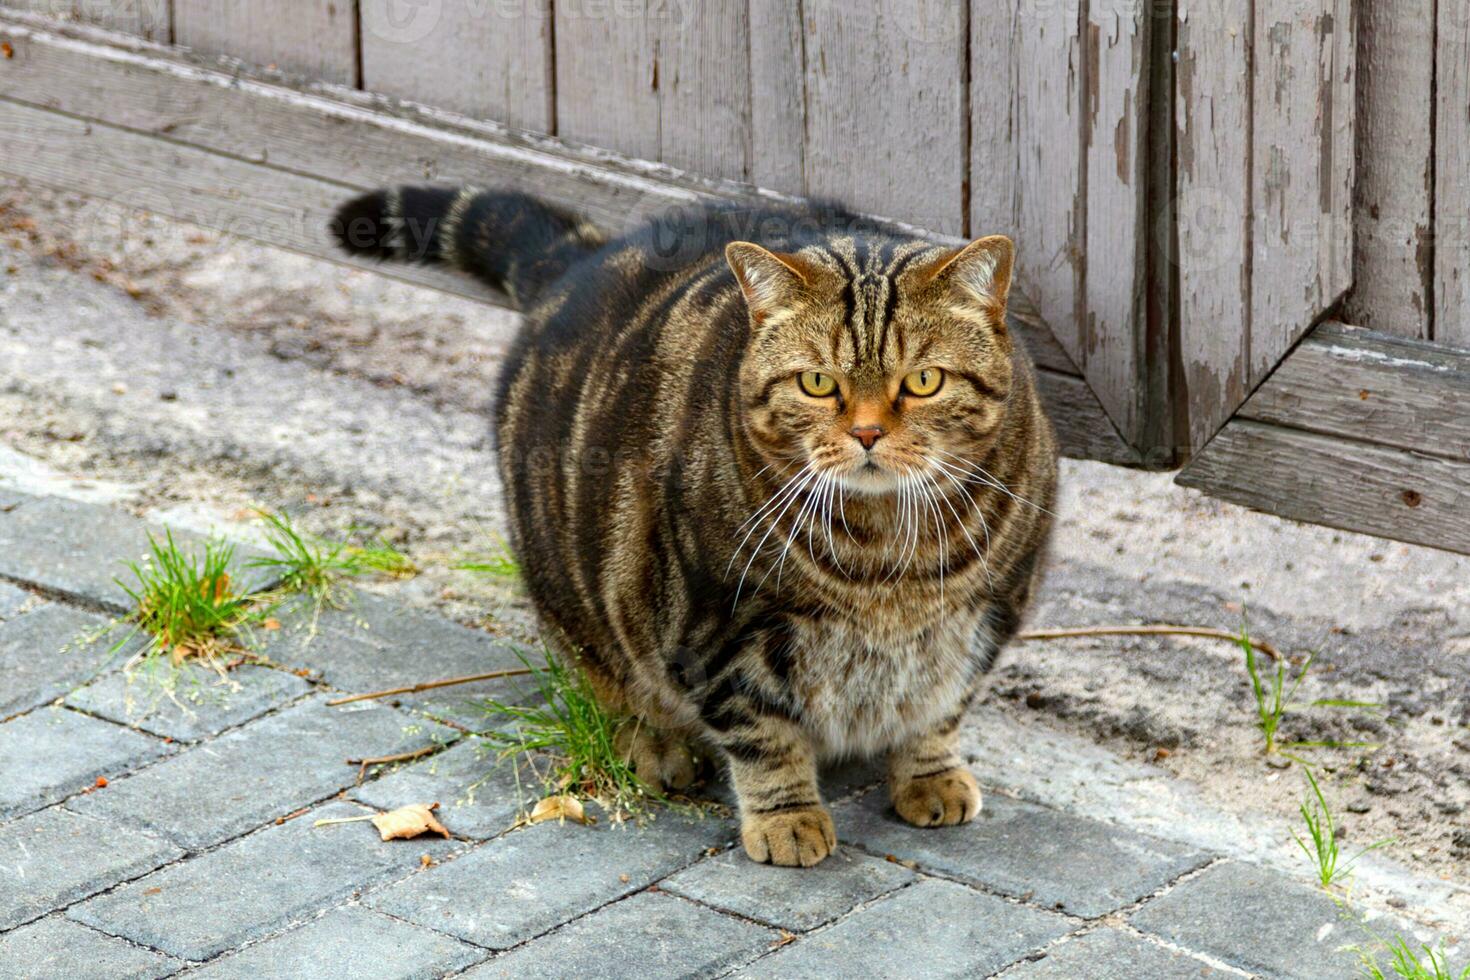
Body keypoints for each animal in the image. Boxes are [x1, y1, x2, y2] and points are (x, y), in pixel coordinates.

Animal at [333, 189, 1058, 863]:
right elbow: (762, 735)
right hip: (574, 597)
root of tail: (584, 257)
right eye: (817, 383)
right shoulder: (719, 624)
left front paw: (930, 774)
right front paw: (787, 817)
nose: (868, 433)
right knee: (601, 685)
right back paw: (655, 745)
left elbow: (940, 707)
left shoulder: (992, 611)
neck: (887, 560)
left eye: (926, 381)